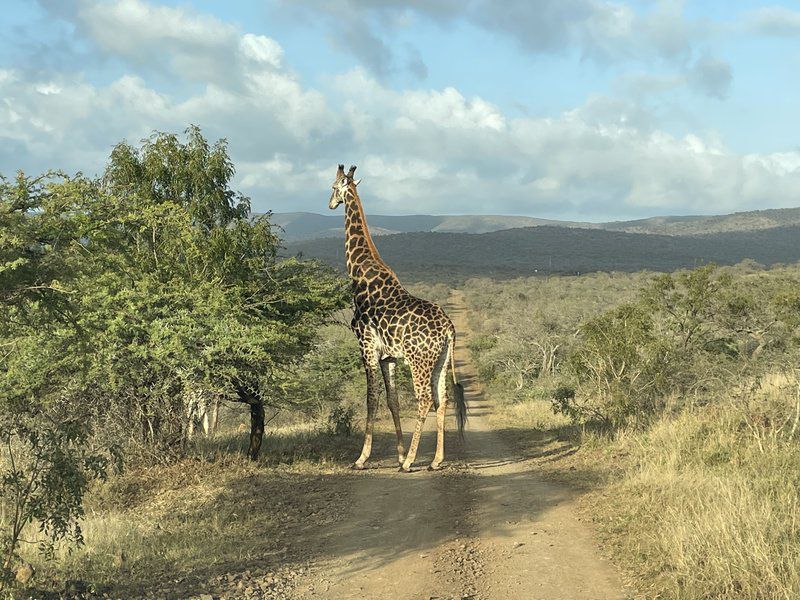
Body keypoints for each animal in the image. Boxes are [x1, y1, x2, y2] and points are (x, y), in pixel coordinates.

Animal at [326, 165, 466, 474]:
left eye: (332, 187)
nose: (330, 204)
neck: (361, 277)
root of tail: (449, 329)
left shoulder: (366, 346)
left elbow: (371, 399)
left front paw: (363, 458)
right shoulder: (387, 356)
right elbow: (392, 400)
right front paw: (399, 454)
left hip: (419, 360)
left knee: (424, 399)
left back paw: (413, 462)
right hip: (440, 359)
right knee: (442, 399)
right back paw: (435, 460)